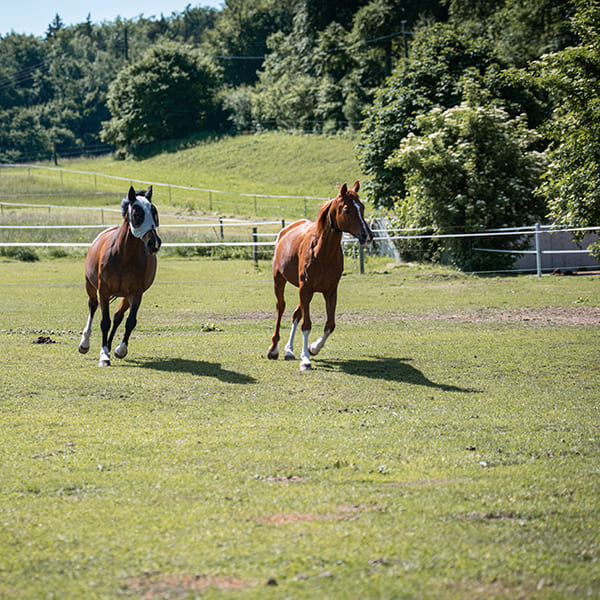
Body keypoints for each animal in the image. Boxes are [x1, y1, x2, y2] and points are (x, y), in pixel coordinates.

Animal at [78, 186, 162, 366]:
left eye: (154, 213)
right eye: (137, 214)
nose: (154, 243)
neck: (124, 255)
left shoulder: (136, 294)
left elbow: (130, 322)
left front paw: (119, 350)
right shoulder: (103, 290)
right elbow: (105, 322)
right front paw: (103, 356)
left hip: (125, 296)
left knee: (118, 317)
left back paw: (110, 347)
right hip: (90, 286)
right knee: (93, 306)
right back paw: (85, 343)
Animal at [266, 182, 370, 370]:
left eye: (362, 207)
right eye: (346, 209)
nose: (367, 236)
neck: (322, 252)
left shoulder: (330, 291)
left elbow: (330, 325)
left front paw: (312, 348)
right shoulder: (305, 289)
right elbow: (306, 325)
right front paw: (306, 360)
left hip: (307, 291)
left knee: (296, 314)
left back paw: (289, 350)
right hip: (280, 280)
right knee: (281, 308)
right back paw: (274, 349)